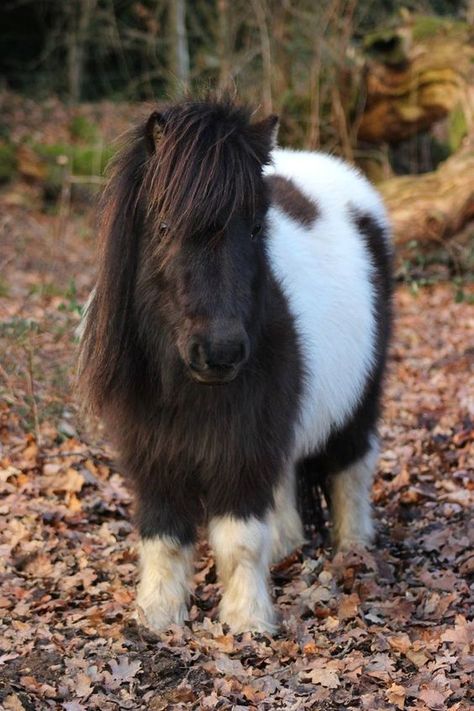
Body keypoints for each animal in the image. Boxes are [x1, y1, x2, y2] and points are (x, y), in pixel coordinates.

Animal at [79, 98, 392, 636]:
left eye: (255, 228)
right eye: (164, 226)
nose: (220, 351)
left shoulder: (242, 445)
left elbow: (239, 538)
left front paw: (248, 621)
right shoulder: (152, 451)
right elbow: (163, 535)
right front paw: (157, 614)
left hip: (361, 395)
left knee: (352, 465)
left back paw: (353, 547)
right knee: (286, 475)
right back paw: (287, 547)